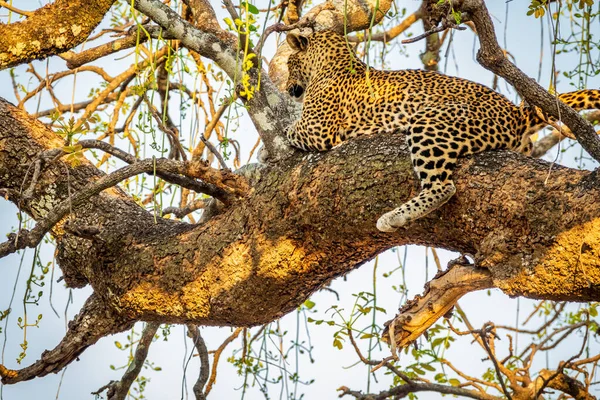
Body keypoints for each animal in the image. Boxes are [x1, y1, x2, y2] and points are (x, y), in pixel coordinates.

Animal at [284, 30, 600, 231]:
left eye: (288, 63)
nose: (287, 88)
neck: (333, 60)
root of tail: (515, 112)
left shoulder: (317, 128)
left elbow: (290, 130)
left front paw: (277, 139)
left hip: (431, 123)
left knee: (442, 186)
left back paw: (393, 218)